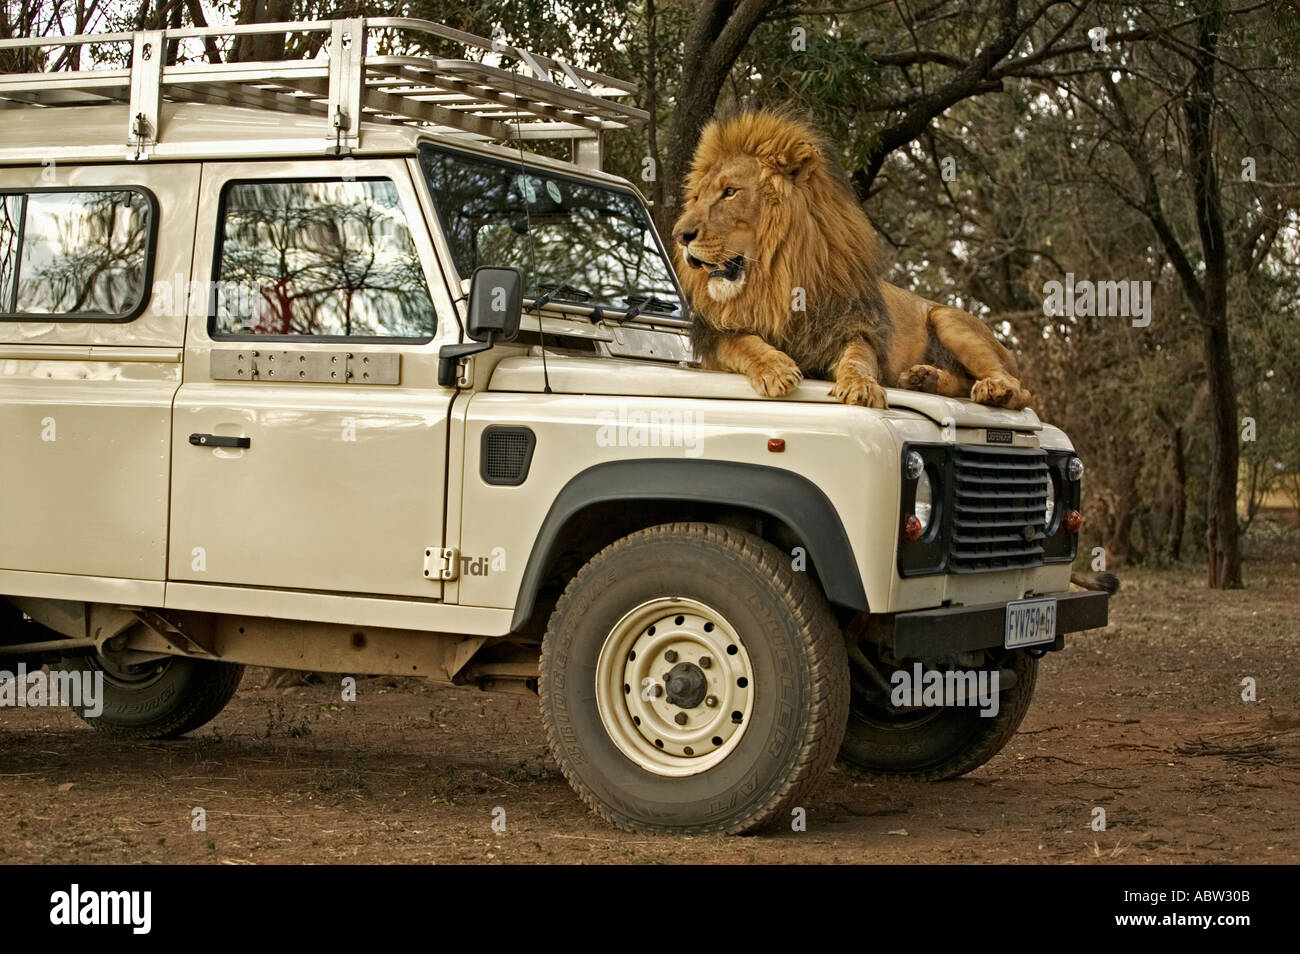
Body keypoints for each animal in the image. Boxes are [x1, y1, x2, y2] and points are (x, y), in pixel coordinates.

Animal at [676, 111, 1029, 410]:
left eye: (730, 192)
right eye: (696, 197)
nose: (680, 235)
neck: (776, 278)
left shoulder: (852, 327)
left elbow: (858, 359)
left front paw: (862, 386)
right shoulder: (715, 337)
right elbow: (742, 343)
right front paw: (775, 368)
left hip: (949, 320)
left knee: (1020, 390)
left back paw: (994, 389)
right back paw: (923, 379)